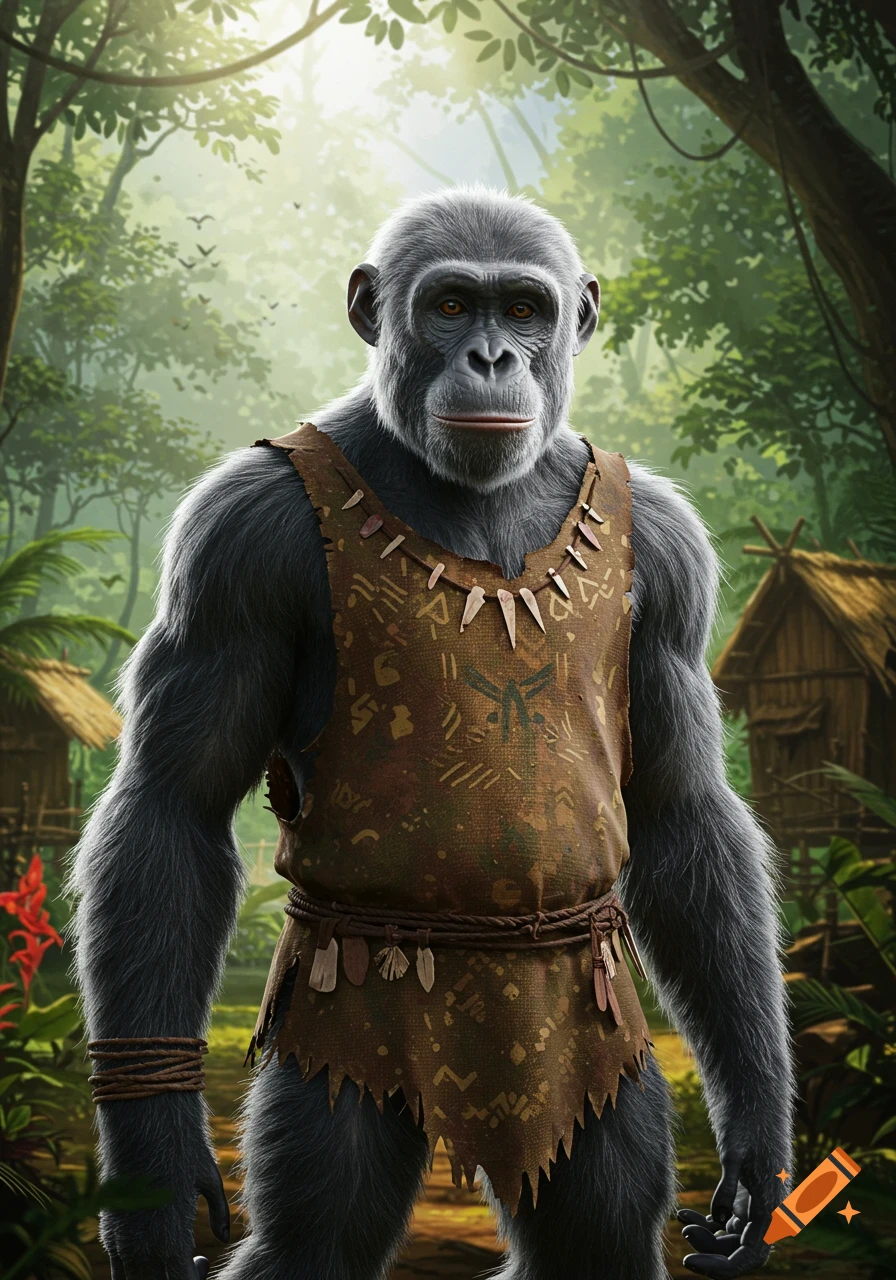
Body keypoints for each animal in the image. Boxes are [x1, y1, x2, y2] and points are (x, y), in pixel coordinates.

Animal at [68, 187, 794, 1280]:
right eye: (451, 304)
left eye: (525, 310)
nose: (490, 358)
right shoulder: (232, 539)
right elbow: (171, 806)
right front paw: (152, 1181)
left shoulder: (672, 557)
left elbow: (682, 811)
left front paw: (754, 1129)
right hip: (340, 1044)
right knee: (316, 1229)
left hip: (601, 1059)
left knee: (599, 1223)